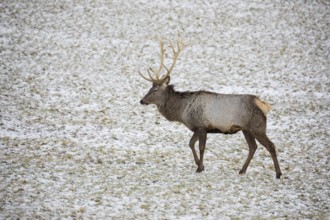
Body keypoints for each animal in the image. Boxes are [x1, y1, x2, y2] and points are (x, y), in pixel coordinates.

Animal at [138, 37, 282, 179]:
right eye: (150, 88)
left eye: (155, 90)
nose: (142, 100)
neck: (182, 111)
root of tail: (262, 104)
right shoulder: (199, 128)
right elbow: (191, 144)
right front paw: (200, 166)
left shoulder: (201, 126)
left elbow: (199, 147)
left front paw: (199, 168)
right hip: (246, 129)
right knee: (253, 147)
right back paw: (242, 170)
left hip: (257, 127)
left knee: (270, 145)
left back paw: (278, 173)